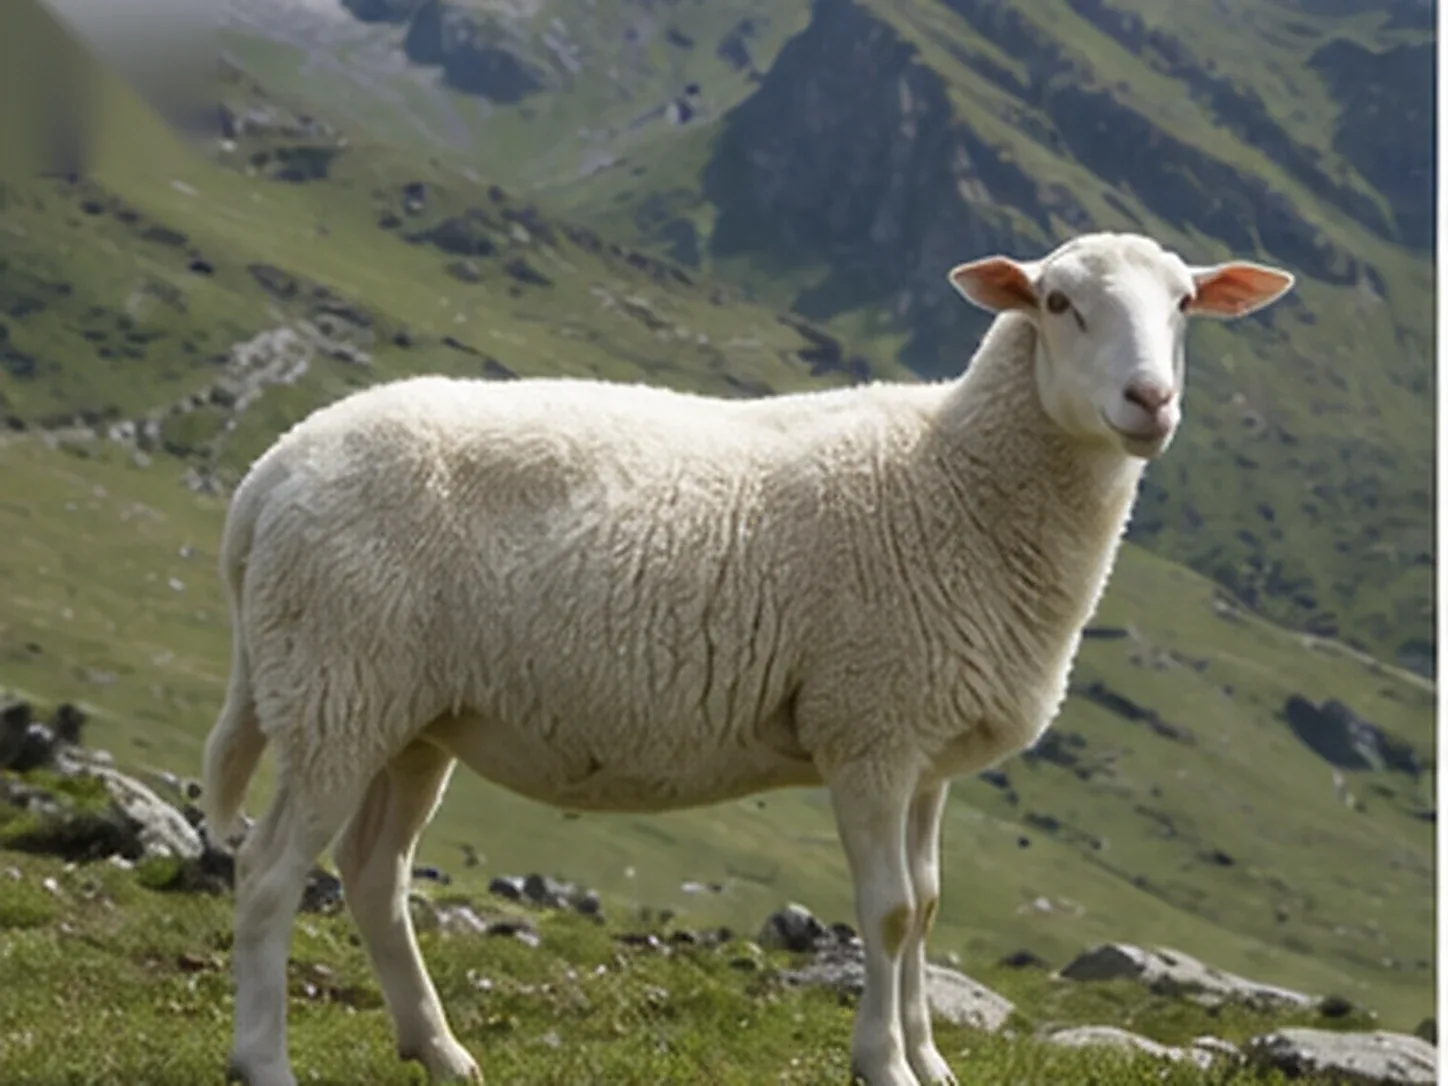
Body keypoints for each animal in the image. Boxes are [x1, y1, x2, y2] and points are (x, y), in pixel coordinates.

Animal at [201, 231, 1294, 1086]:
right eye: (1060, 303)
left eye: (1184, 304)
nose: (1149, 400)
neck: (954, 476)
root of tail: (271, 473)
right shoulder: (868, 729)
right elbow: (888, 914)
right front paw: (883, 1065)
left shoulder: (929, 749)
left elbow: (930, 909)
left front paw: (931, 1059)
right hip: (335, 688)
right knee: (269, 870)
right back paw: (266, 1060)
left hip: (412, 716)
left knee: (373, 875)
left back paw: (440, 1051)